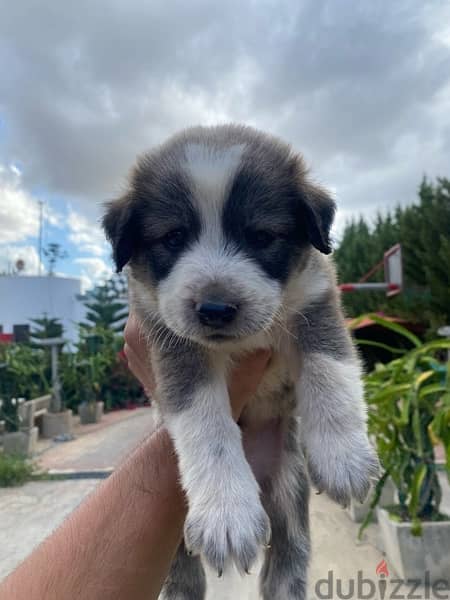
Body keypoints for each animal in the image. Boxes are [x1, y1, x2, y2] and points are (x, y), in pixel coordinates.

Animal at [103, 124, 380, 596]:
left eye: (262, 236)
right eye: (173, 237)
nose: (215, 308)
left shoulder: (316, 303)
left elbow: (330, 373)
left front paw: (343, 457)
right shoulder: (173, 343)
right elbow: (205, 423)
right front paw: (227, 514)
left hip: (289, 492)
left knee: (287, 558)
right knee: (181, 569)